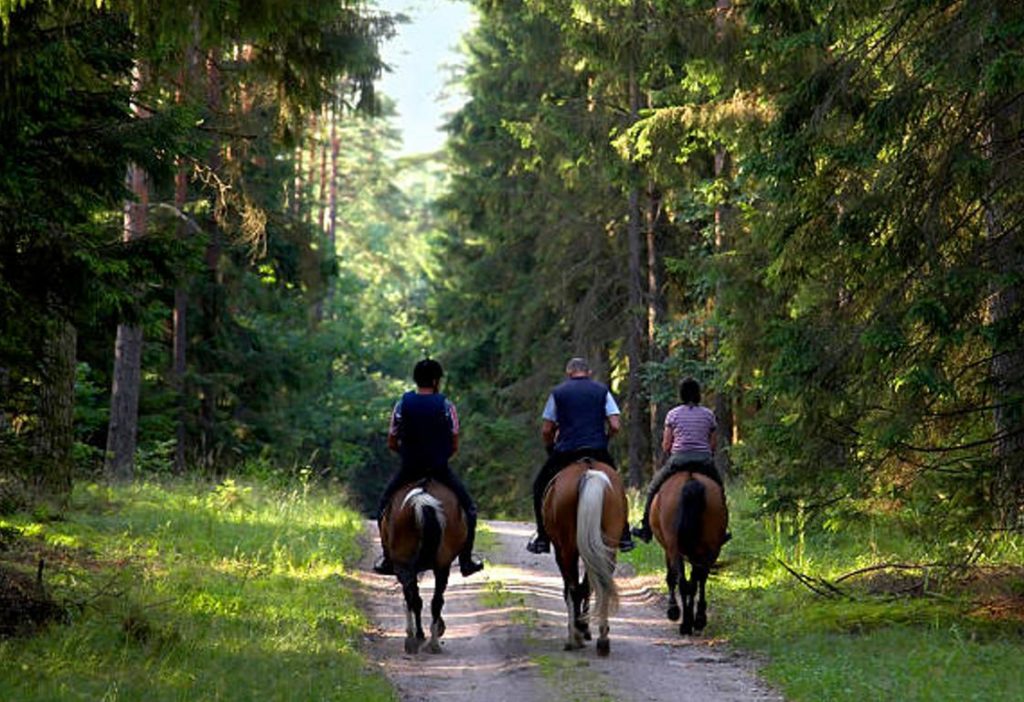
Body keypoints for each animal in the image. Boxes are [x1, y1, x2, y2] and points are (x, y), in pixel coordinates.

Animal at [380, 480, 468, 659]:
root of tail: (421, 499)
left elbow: (412, 598)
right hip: (442, 565)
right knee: (436, 600)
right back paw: (432, 642)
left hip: (405, 564)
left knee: (415, 599)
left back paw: (416, 638)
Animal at [540, 458, 626, 659]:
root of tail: (589, 470)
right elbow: (588, 585)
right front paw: (585, 626)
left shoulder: (561, 551)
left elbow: (572, 588)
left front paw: (581, 628)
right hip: (607, 546)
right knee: (601, 584)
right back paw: (602, 639)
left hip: (567, 549)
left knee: (572, 588)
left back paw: (575, 637)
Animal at [647, 472, 729, 638]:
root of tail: (691, 480)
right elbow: (695, 581)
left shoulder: (668, 549)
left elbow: (671, 578)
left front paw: (673, 610)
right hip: (710, 548)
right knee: (698, 580)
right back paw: (697, 620)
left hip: (675, 549)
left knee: (684, 583)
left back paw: (685, 622)